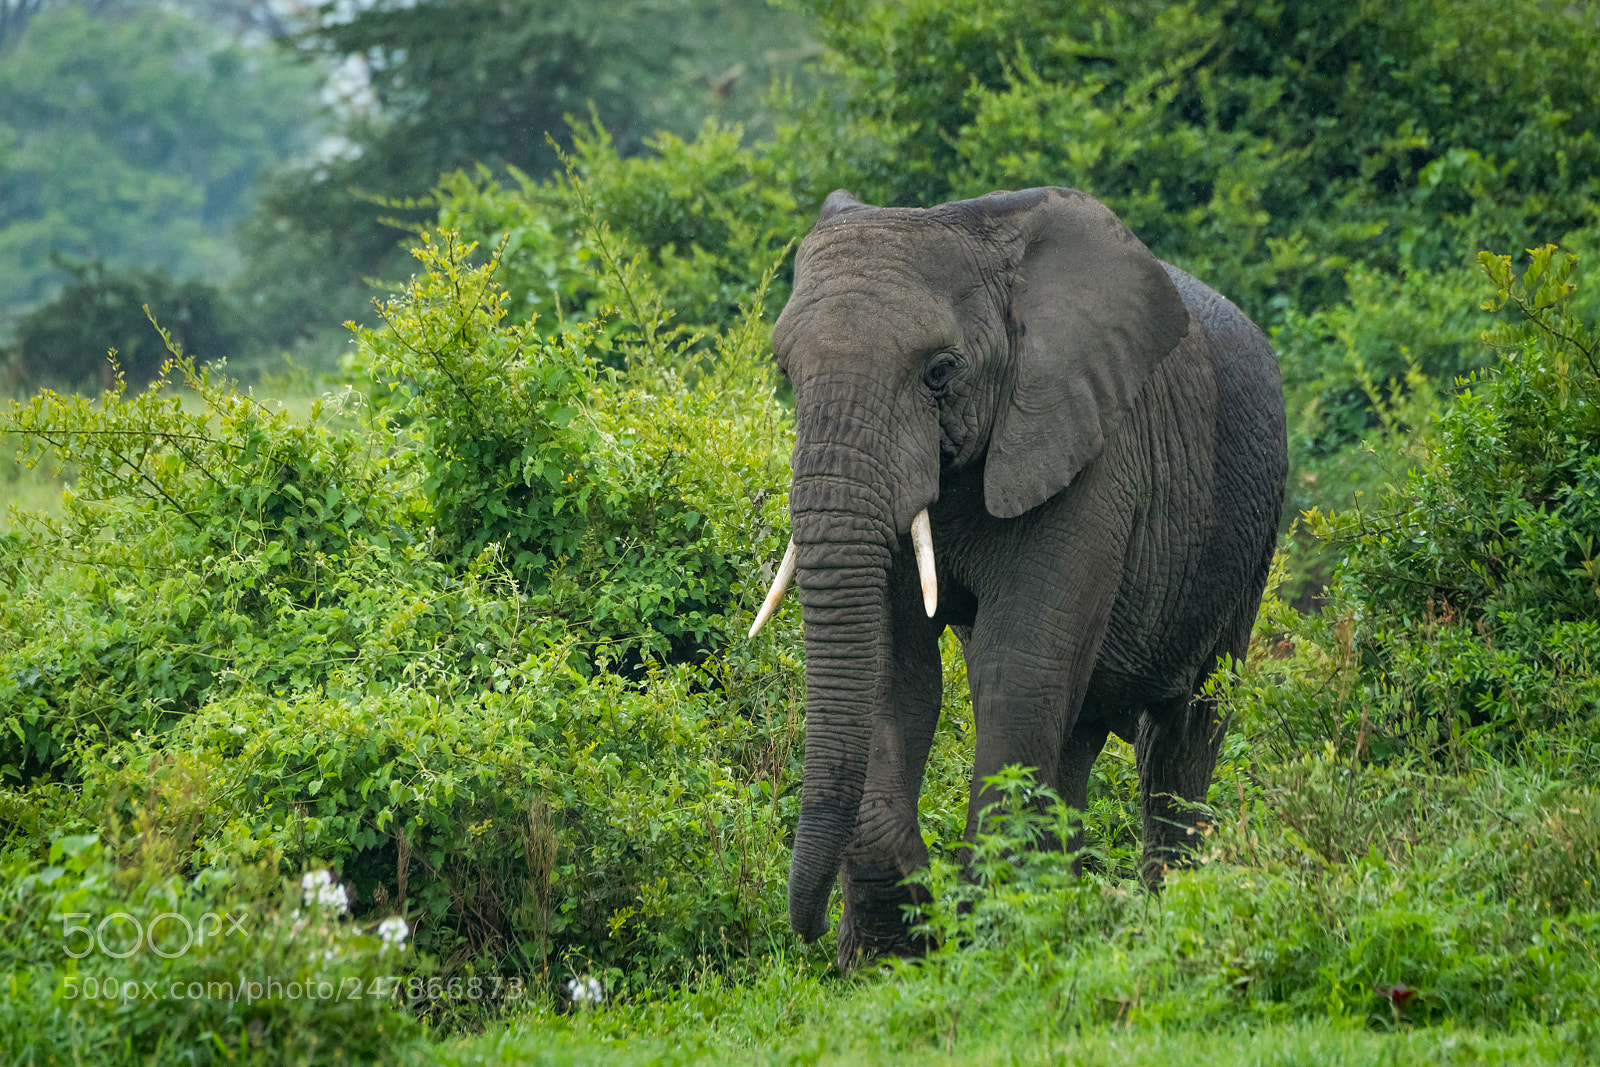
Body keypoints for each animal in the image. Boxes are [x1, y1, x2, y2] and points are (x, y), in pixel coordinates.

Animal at [747, 186, 1287, 970]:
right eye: (787, 374)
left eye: (940, 371)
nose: (808, 930)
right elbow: (894, 673)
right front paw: (892, 950)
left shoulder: (1090, 448)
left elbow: (1019, 665)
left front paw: (984, 938)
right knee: (1078, 731)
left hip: (1248, 534)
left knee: (1183, 731)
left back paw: (1163, 909)